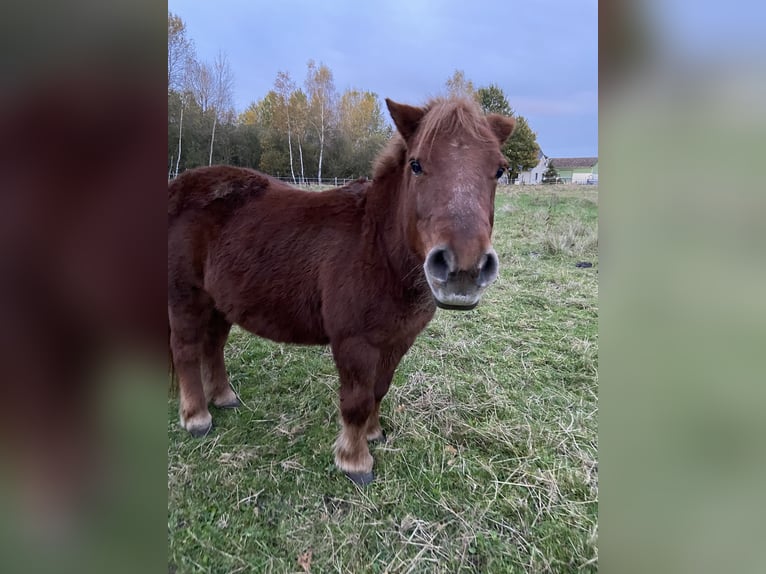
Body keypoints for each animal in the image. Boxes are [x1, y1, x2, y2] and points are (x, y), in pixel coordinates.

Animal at [168, 98, 516, 486]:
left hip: (219, 302)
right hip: (186, 297)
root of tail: (178, 187)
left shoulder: (397, 340)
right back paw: (197, 417)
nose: (463, 269)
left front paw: (373, 433)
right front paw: (355, 460)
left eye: (499, 170)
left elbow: (379, 390)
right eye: (416, 165)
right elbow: (357, 401)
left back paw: (224, 396)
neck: (378, 250)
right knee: (186, 350)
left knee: (213, 346)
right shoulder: (354, 343)